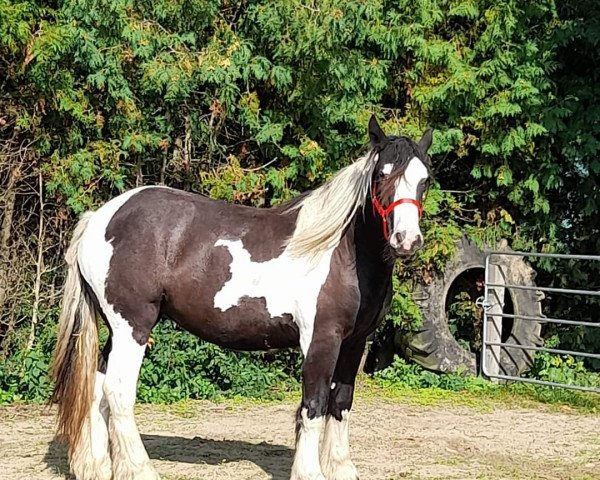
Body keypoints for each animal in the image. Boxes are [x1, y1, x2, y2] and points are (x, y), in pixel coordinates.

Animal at [51, 116, 432, 480]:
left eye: (425, 180)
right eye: (382, 174)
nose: (406, 239)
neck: (339, 252)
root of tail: (99, 218)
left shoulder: (354, 342)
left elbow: (341, 403)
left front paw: (340, 468)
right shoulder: (321, 338)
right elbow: (314, 404)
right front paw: (310, 472)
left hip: (116, 329)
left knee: (98, 390)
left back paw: (97, 467)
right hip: (133, 326)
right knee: (118, 392)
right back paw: (140, 470)